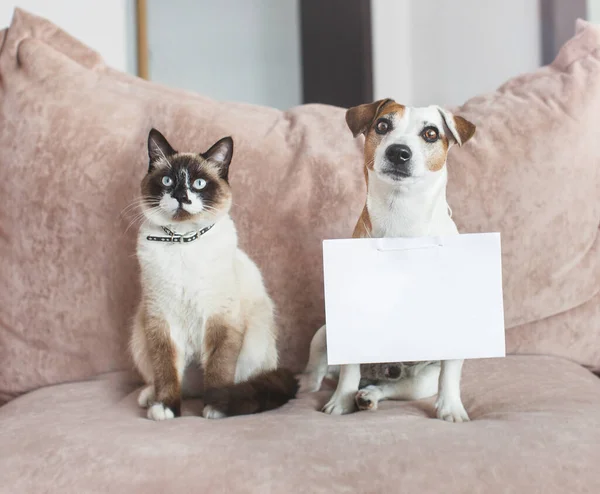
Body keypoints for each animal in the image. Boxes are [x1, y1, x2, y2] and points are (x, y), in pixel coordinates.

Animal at [129, 128, 298, 420]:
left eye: (198, 184)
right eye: (167, 180)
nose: (182, 197)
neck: (183, 240)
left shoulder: (220, 319)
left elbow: (218, 370)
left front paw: (216, 406)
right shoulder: (162, 321)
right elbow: (166, 371)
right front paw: (166, 408)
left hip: (254, 343)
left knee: (241, 381)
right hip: (140, 334)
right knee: (176, 383)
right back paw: (150, 398)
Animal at [298, 98, 476, 422]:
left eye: (431, 133)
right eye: (382, 125)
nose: (398, 151)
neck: (401, 214)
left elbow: (449, 374)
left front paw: (451, 408)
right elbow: (348, 371)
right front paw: (340, 401)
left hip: (420, 381)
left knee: (391, 388)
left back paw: (369, 396)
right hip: (324, 332)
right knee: (320, 369)